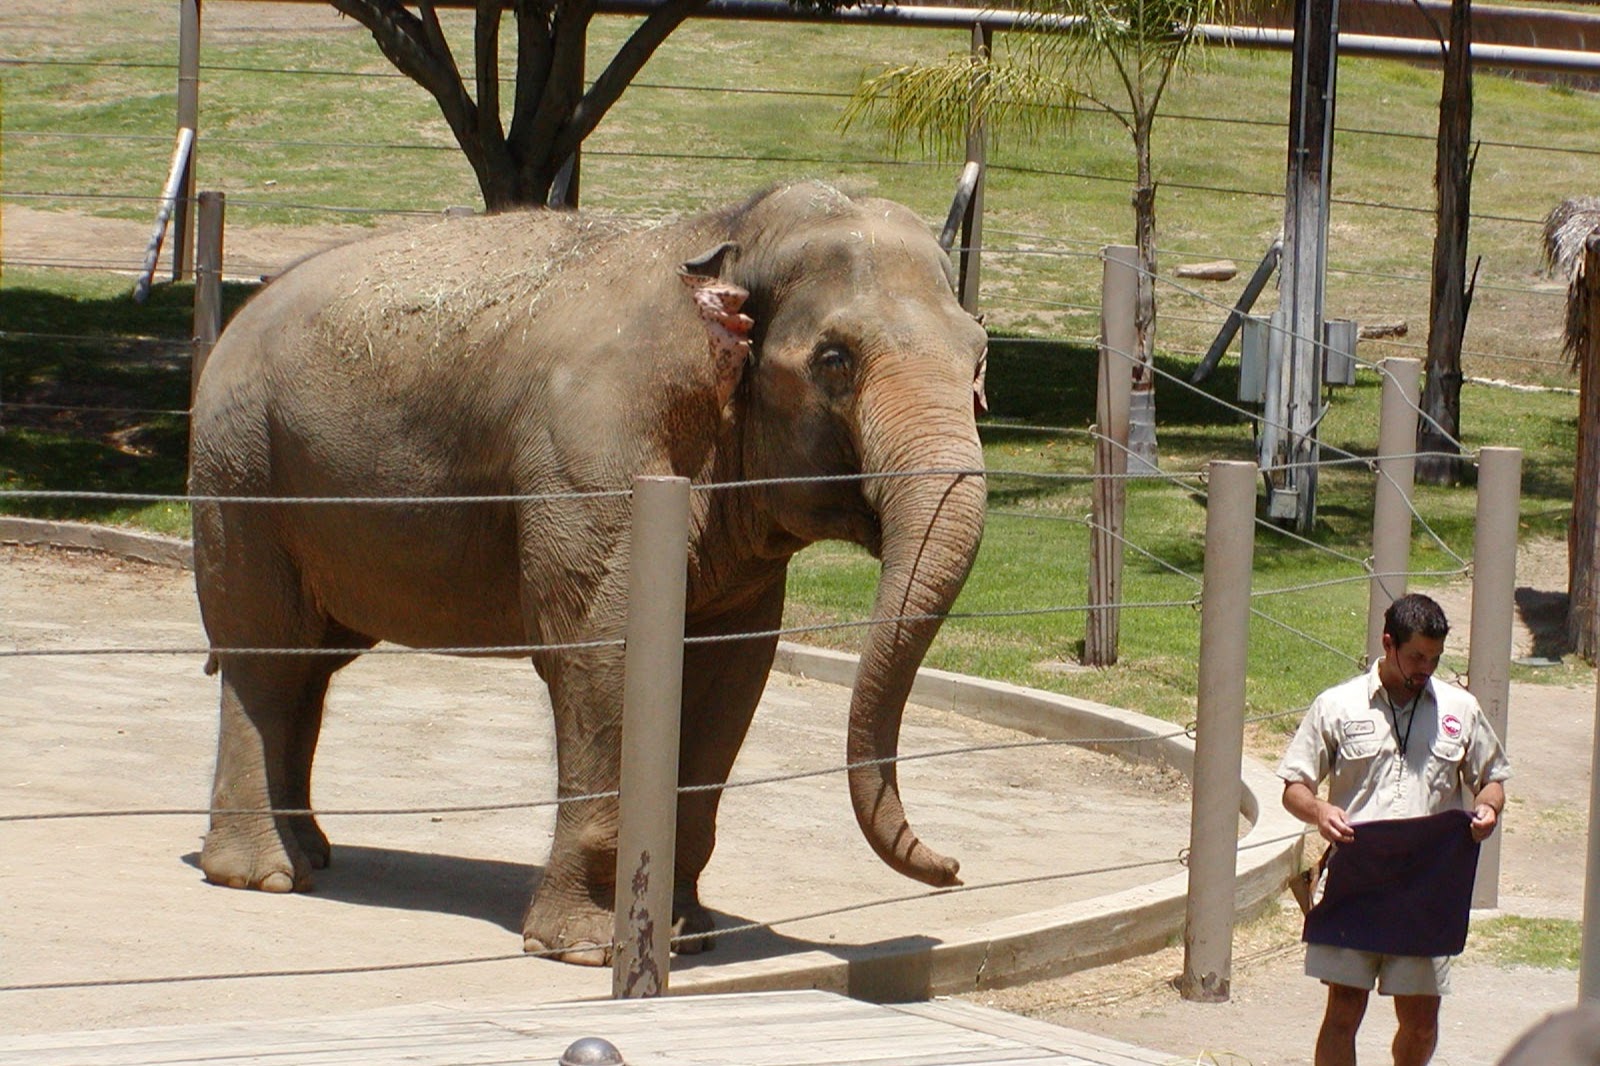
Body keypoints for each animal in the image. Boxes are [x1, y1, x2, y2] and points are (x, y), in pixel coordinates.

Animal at [188, 180, 989, 965]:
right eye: (834, 360)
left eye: (979, 356)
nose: (952, 868)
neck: (725, 233)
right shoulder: (592, 452)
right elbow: (600, 654)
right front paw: (584, 948)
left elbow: (729, 673)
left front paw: (686, 934)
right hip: (242, 470)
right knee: (267, 655)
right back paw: (263, 874)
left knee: (312, 667)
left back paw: (312, 853)